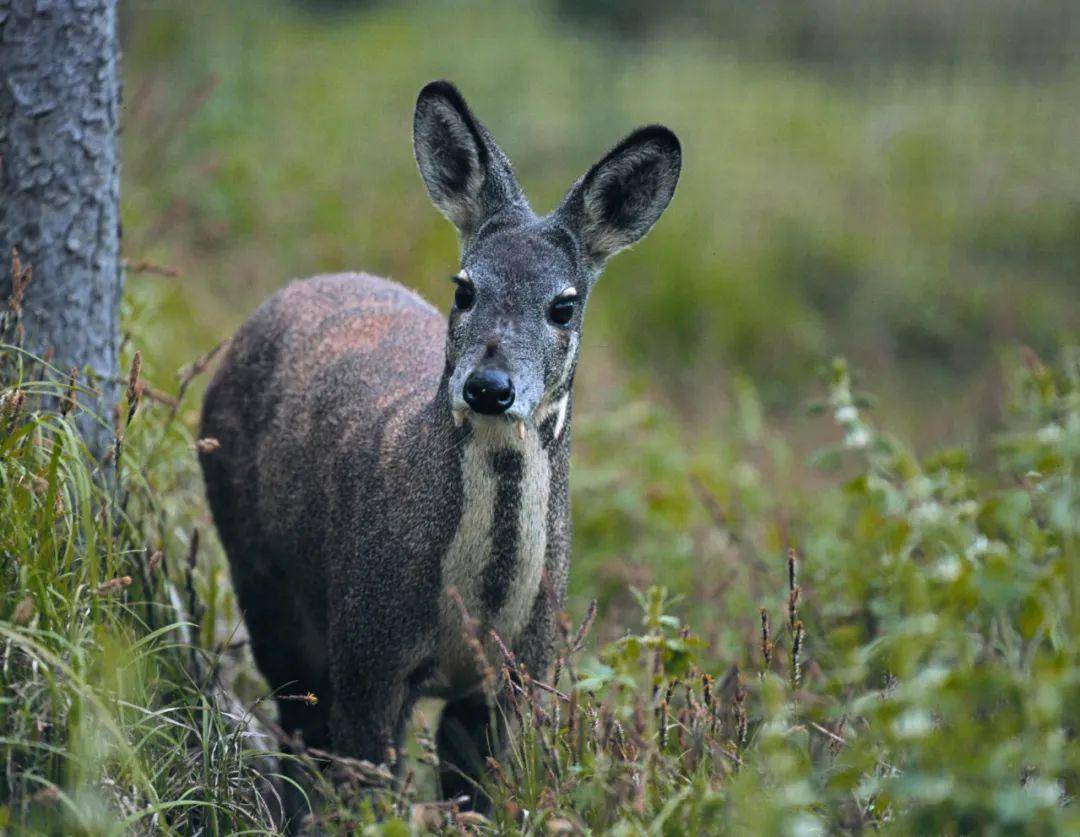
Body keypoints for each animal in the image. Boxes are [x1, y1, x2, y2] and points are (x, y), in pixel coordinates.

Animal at [198, 82, 678, 807]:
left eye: (563, 305)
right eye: (465, 287)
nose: (488, 386)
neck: (476, 612)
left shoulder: (518, 675)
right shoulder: (369, 648)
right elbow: (365, 786)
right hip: (261, 575)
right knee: (297, 724)